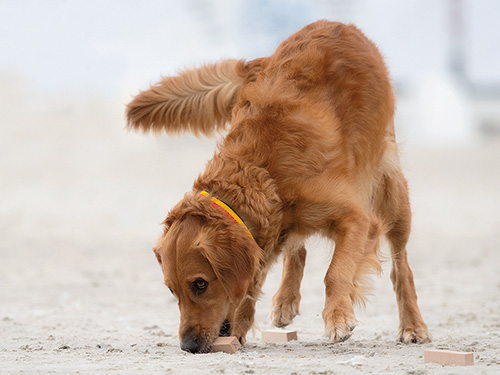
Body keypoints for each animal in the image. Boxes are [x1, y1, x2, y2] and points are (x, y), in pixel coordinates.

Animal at [127, 20, 432, 354]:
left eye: (200, 283)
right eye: (172, 290)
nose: (188, 345)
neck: (263, 173)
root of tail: (339, 24)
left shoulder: (357, 218)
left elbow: (335, 272)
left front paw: (338, 316)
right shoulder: (270, 231)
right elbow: (252, 284)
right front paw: (242, 327)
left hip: (391, 190)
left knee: (401, 267)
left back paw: (413, 325)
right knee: (297, 249)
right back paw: (286, 299)